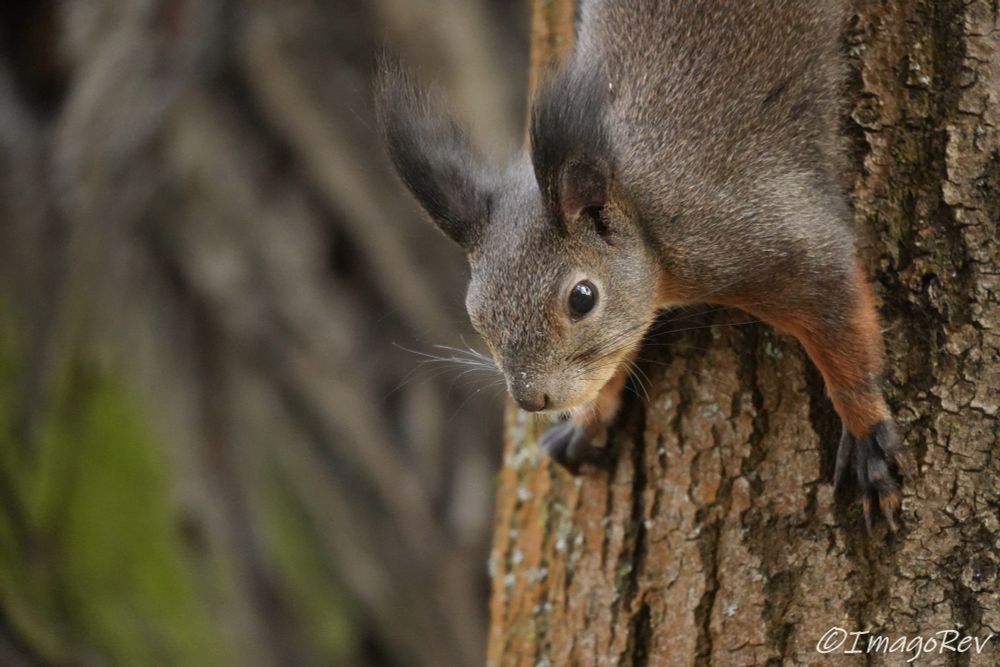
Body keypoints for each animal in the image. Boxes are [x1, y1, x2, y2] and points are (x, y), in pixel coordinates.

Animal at [376, 0, 915, 530]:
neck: (643, 214)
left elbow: (840, 322)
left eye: (582, 298)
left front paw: (865, 428)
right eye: (476, 314)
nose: (531, 399)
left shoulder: (767, 235)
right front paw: (589, 419)